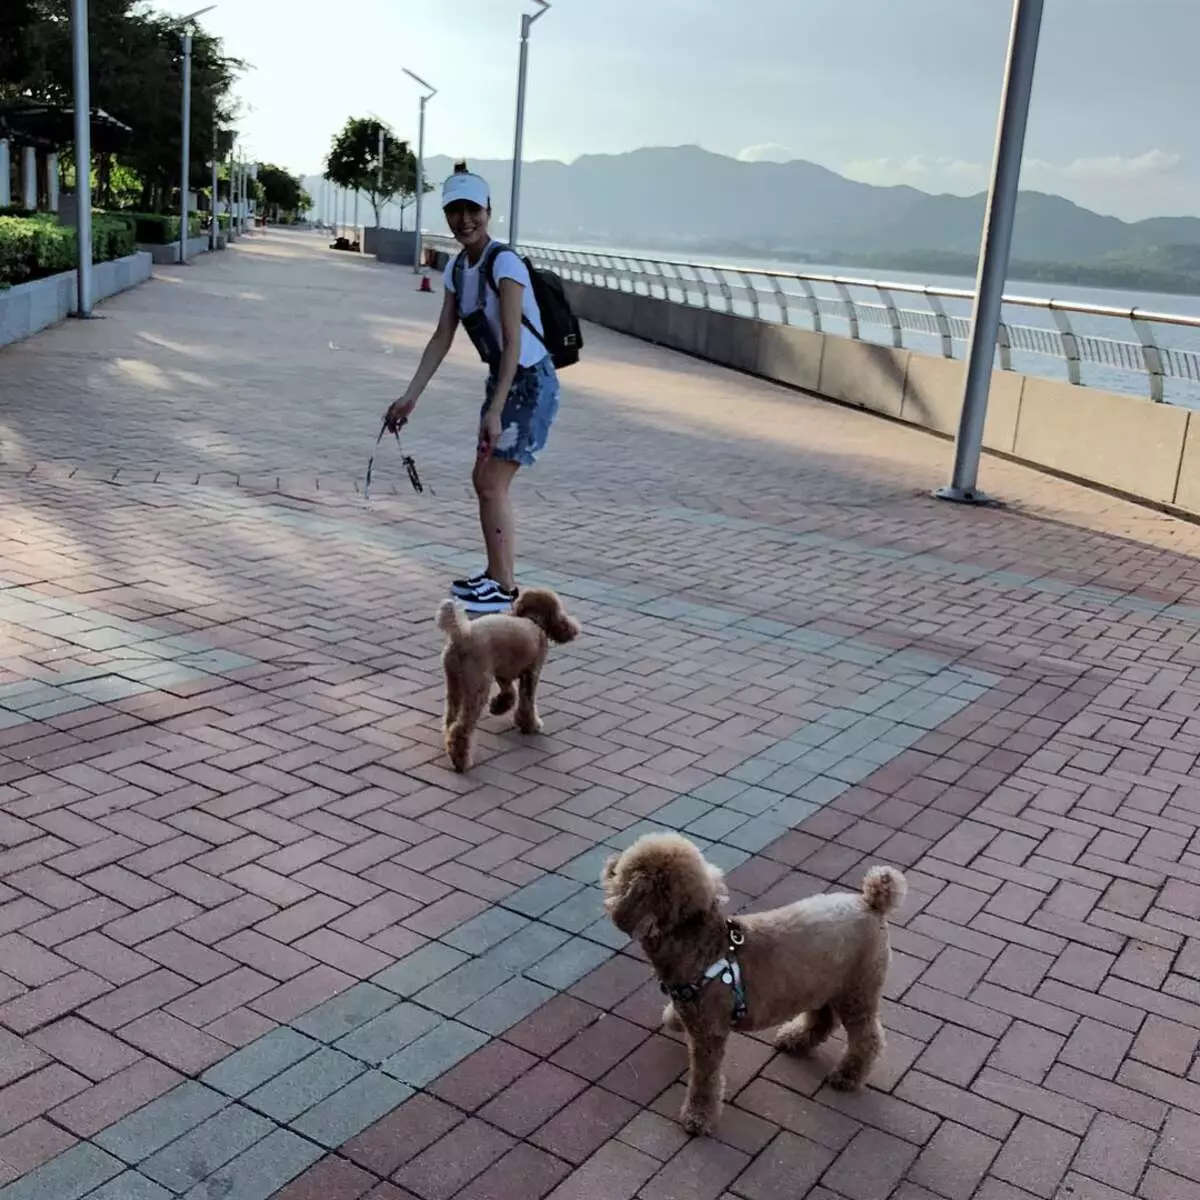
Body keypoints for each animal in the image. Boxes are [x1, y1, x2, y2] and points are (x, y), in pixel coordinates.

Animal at [436, 587, 580, 772]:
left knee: (450, 719)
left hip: (454, 683)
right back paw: (461, 762)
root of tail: (462, 637)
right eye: (559, 611)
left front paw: (498, 706)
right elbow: (527, 701)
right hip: (478, 686)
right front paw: (530, 724)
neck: (533, 620)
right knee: (461, 728)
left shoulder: (503, 673)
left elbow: (509, 693)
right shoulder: (532, 672)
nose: (573, 629)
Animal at [602, 832, 905, 1136]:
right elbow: (674, 1016)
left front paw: (698, 1117)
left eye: (623, 872)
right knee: (823, 1020)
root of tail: (871, 902)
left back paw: (847, 1075)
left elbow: (704, 1082)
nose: (609, 861)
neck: (699, 942)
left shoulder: (709, 1036)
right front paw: (674, 1019)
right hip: (820, 981)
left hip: (857, 991)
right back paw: (796, 1039)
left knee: (868, 1038)